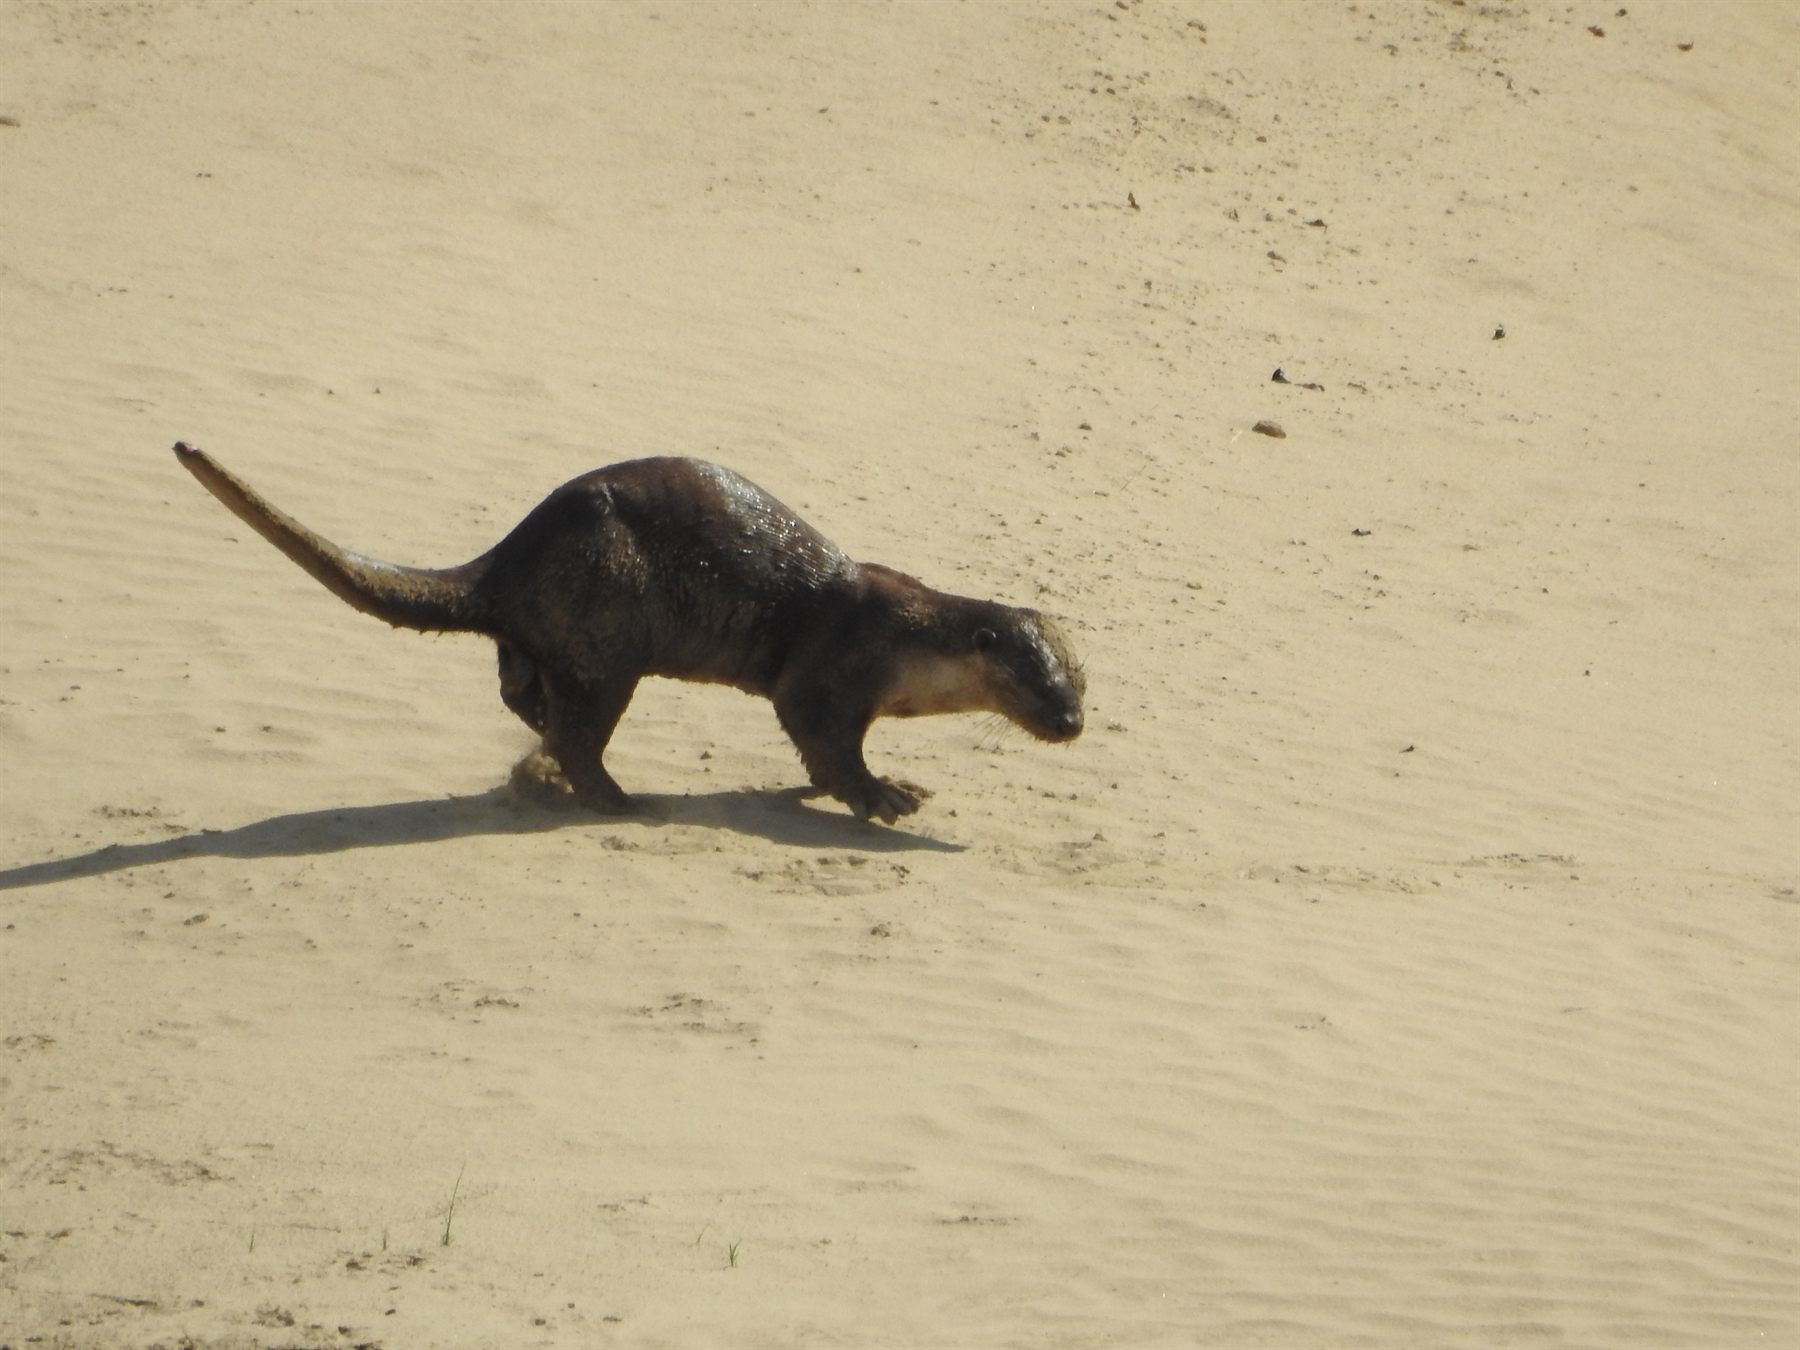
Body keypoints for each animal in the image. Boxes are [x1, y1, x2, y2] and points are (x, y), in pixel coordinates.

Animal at [173, 444, 1084, 824]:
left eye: (1080, 682)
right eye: (1035, 680)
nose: (1072, 722)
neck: (907, 641)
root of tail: (508, 560)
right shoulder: (831, 667)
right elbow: (819, 733)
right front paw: (881, 795)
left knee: (521, 691)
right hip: (606, 634)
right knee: (581, 733)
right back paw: (620, 800)